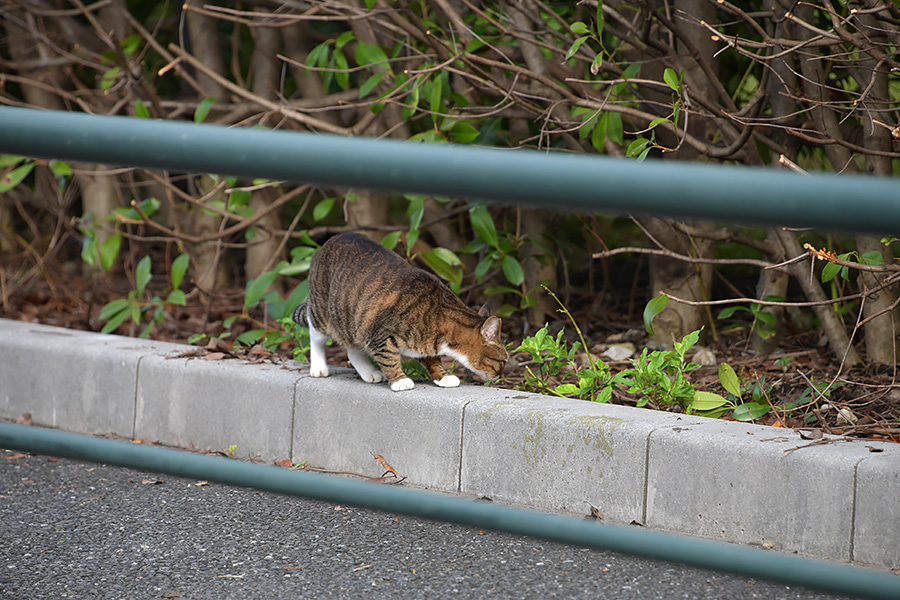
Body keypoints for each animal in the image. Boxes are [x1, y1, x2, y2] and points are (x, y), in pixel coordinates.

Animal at [294, 232, 510, 392]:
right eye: (503, 360)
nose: (502, 376)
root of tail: (328, 242)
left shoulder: (425, 343)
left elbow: (433, 359)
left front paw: (443, 377)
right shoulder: (379, 334)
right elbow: (389, 358)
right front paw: (400, 380)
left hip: (354, 321)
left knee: (352, 349)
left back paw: (368, 372)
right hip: (324, 313)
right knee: (315, 335)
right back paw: (319, 367)